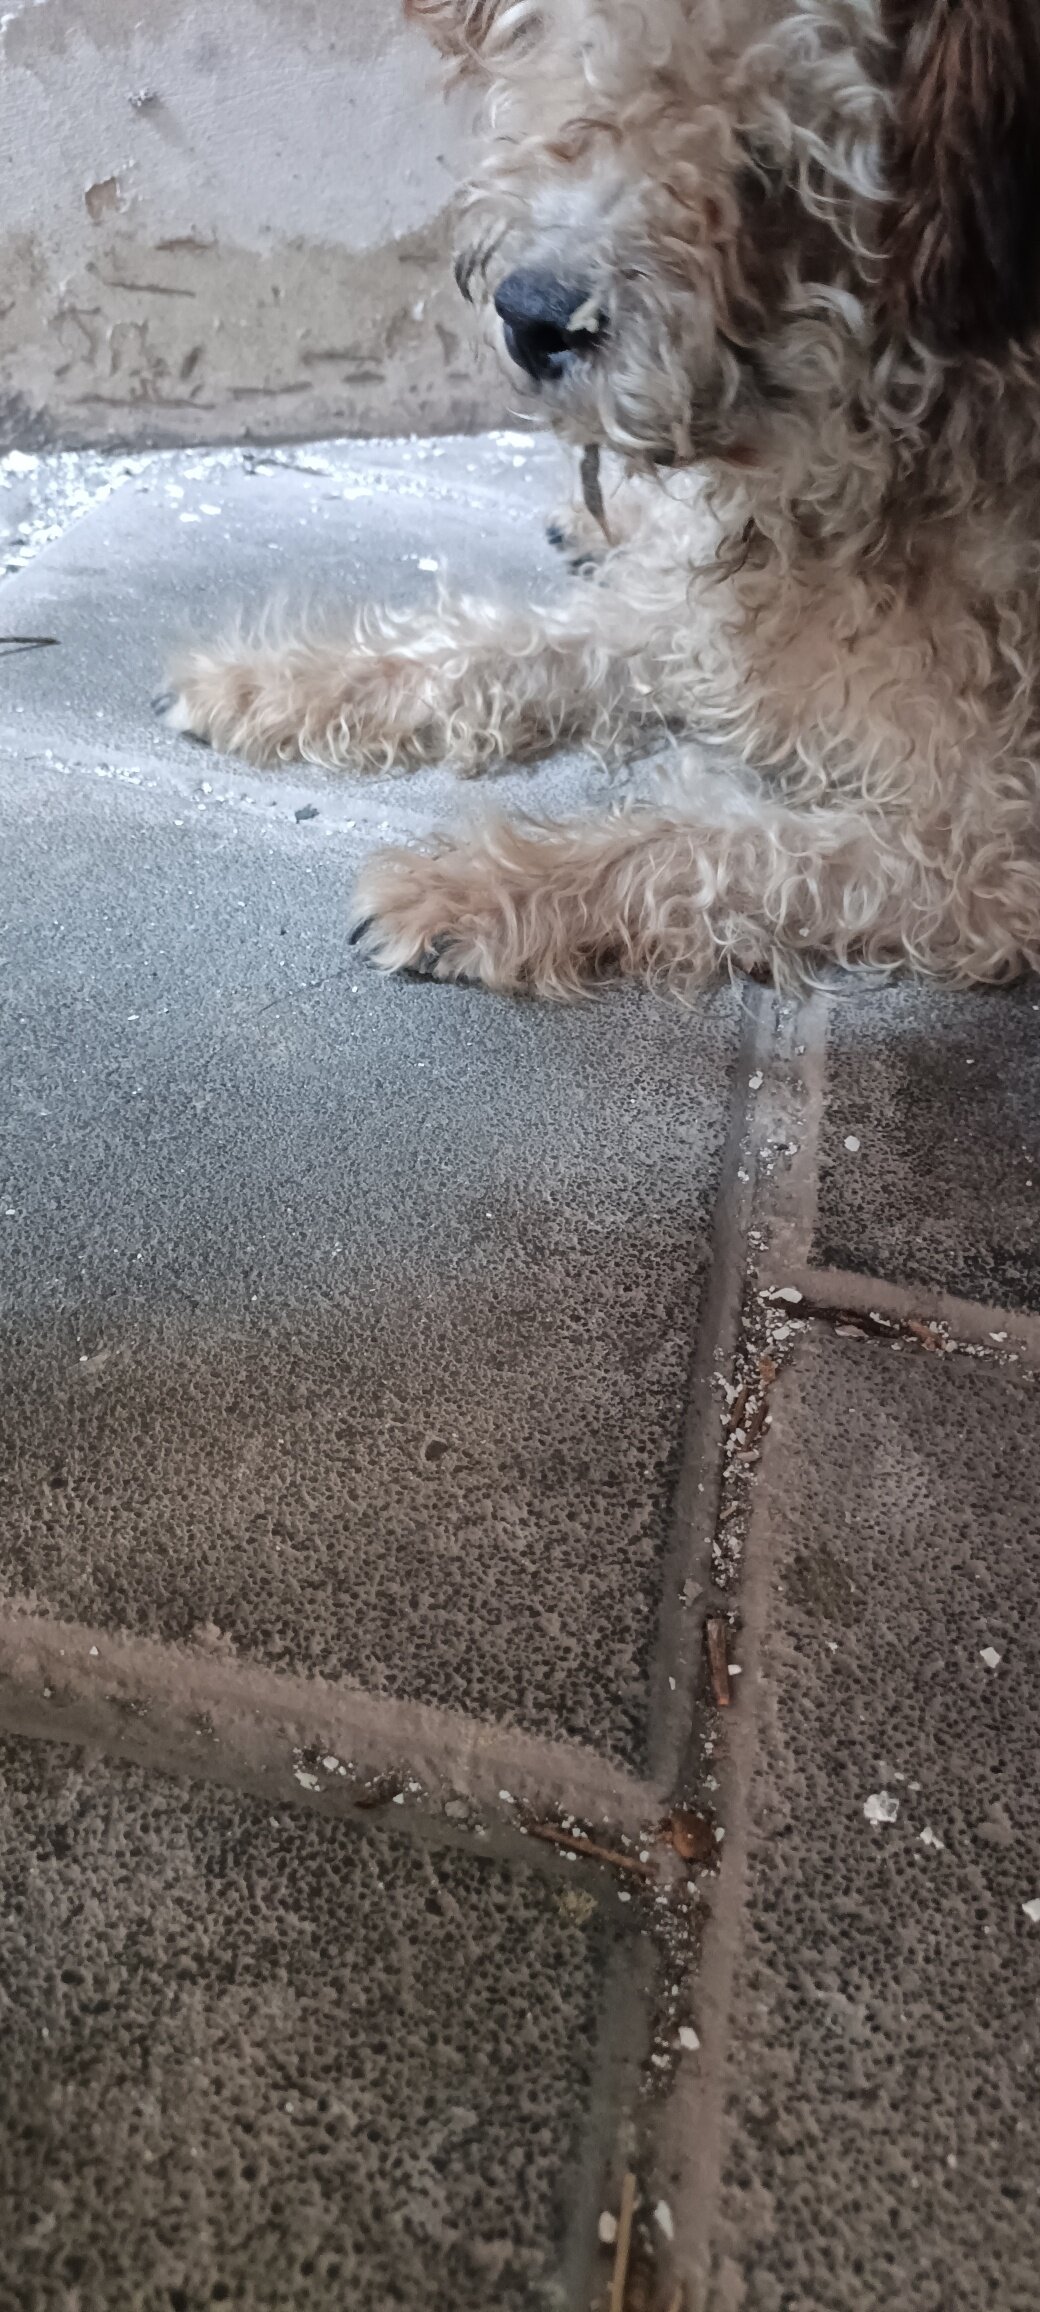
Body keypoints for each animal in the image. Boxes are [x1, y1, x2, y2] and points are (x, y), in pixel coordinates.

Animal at [158, 0, 1040, 999]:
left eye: (769, 151)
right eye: (579, 68)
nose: (533, 316)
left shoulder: (988, 859)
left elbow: (719, 853)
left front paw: (485, 887)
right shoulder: (687, 623)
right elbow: (507, 644)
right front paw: (271, 681)